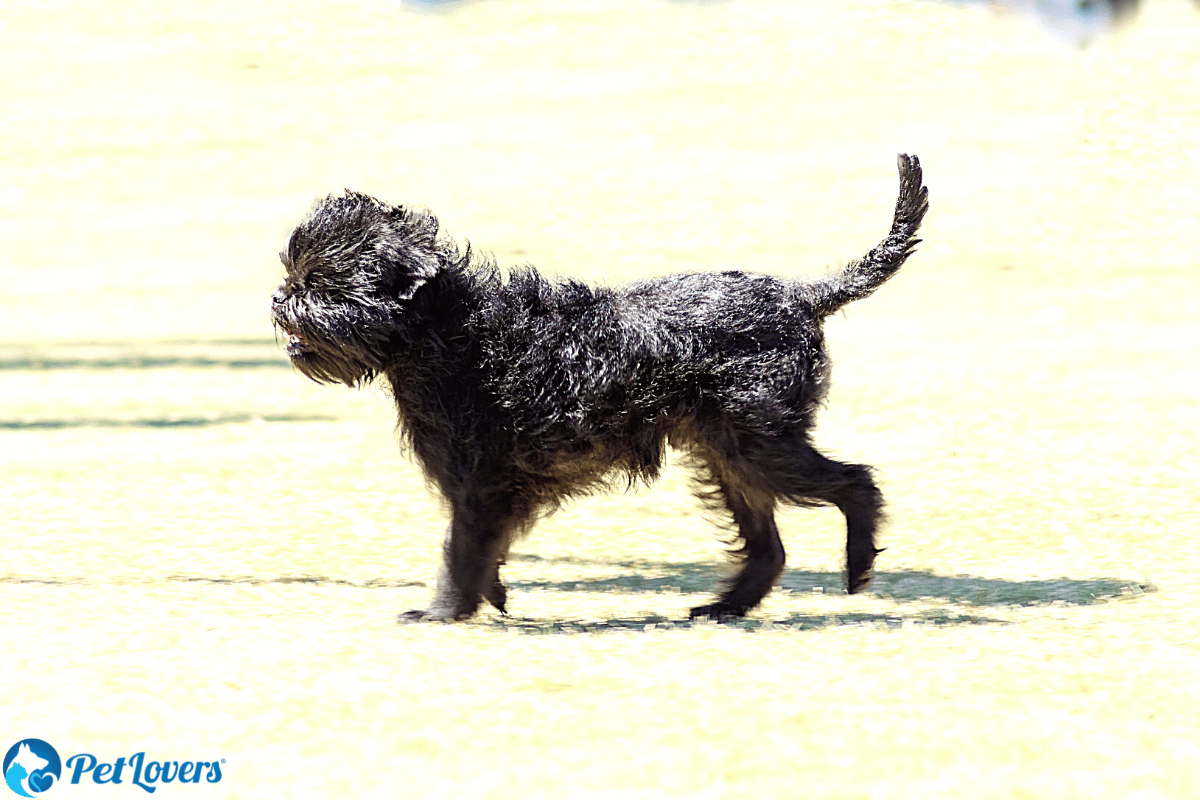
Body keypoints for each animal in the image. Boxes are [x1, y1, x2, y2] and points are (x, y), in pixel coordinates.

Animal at [272, 154, 926, 618]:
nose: (281, 297)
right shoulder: (490, 488)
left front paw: (442, 612)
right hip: (728, 450)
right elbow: (483, 548)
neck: (449, 330)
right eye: (294, 277)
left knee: (855, 482)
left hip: (758, 441)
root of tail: (803, 296)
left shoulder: (481, 480)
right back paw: (725, 607)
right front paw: (491, 597)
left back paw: (856, 568)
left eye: (325, 287)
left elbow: (462, 549)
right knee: (770, 547)